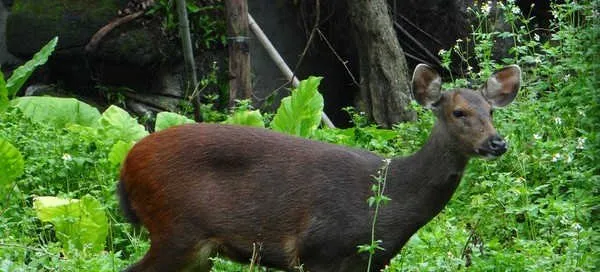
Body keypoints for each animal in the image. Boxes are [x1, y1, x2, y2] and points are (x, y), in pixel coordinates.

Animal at [117, 62, 520, 270]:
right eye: (459, 112)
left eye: (491, 111)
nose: (496, 143)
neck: (390, 194)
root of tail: (127, 168)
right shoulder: (318, 248)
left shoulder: (372, 261)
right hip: (177, 229)